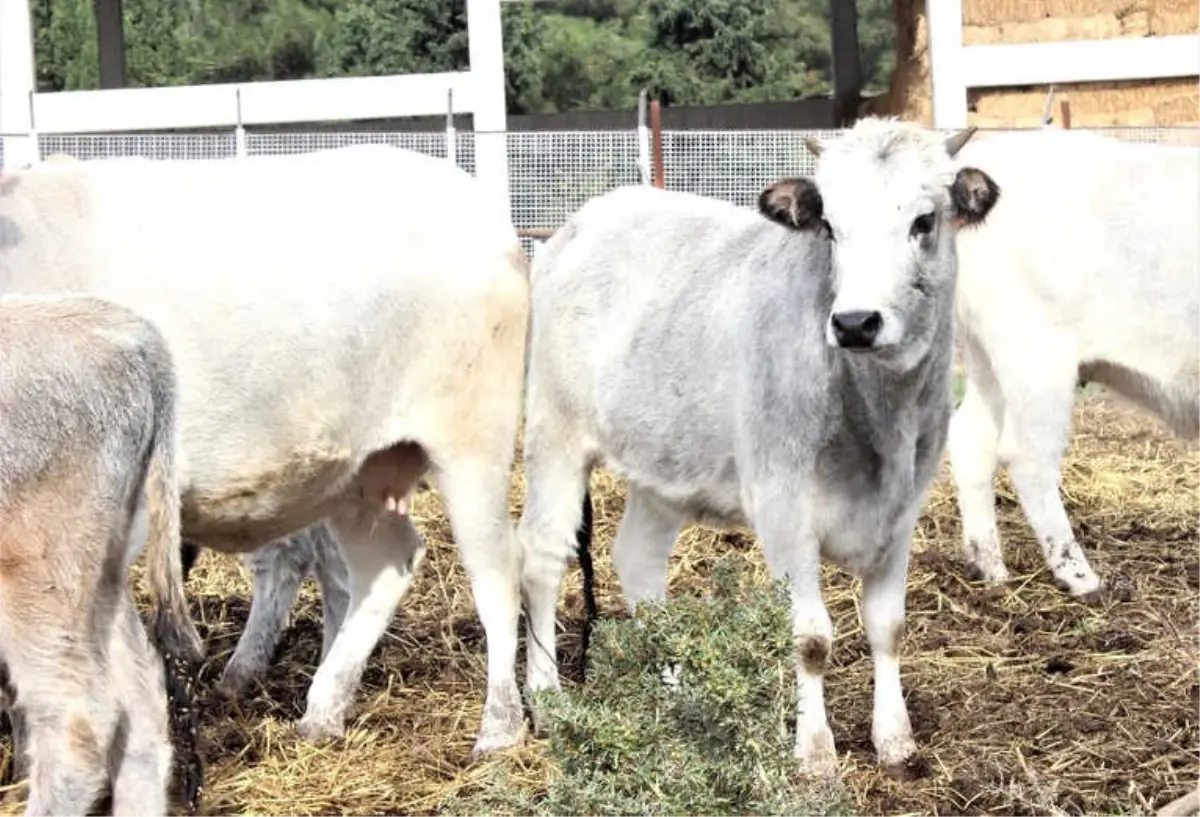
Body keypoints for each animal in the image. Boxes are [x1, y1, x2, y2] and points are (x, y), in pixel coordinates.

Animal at [520, 116, 998, 772]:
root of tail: (584, 221)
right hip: (554, 433)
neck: (880, 420)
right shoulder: (783, 506)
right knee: (543, 557)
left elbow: (888, 626)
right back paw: (545, 697)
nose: (855, 322)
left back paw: (676, 690)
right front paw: (816, 753)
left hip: (661, 463)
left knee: (638, 561)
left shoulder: (902, 511)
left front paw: (895, 738)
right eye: (830, 226)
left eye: (923, 221)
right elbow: (811, 638)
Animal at [945, 130, 1200, 595]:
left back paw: (990, 568)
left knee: (972, 439)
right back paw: (1079, 575)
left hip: (988, 362)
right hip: (1036, 358)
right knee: (1028, 456)